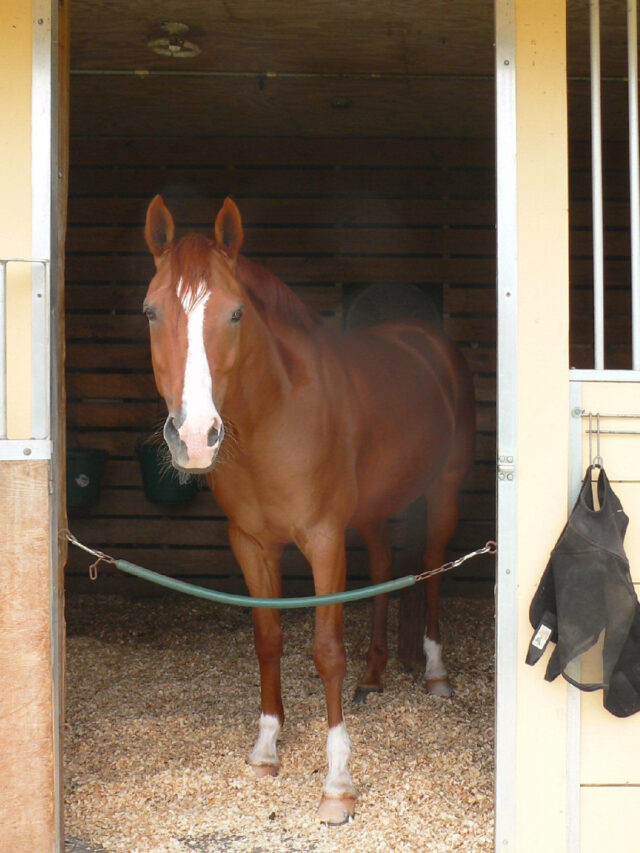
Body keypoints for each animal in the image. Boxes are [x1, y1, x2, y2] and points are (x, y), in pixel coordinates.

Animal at [143, 195, 476, 825]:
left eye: (236, 314)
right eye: (151, 312)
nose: (195, 437)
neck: (274, 416)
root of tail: (424, 340)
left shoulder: (323, 539)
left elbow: (325, 651)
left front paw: (338, 784)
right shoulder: (251, 543)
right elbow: (268, 637)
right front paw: (266, 748)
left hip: (443, 492)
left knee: (430, 567)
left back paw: (436, 674)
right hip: (372, 511)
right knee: (382, 569)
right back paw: (374, 676)